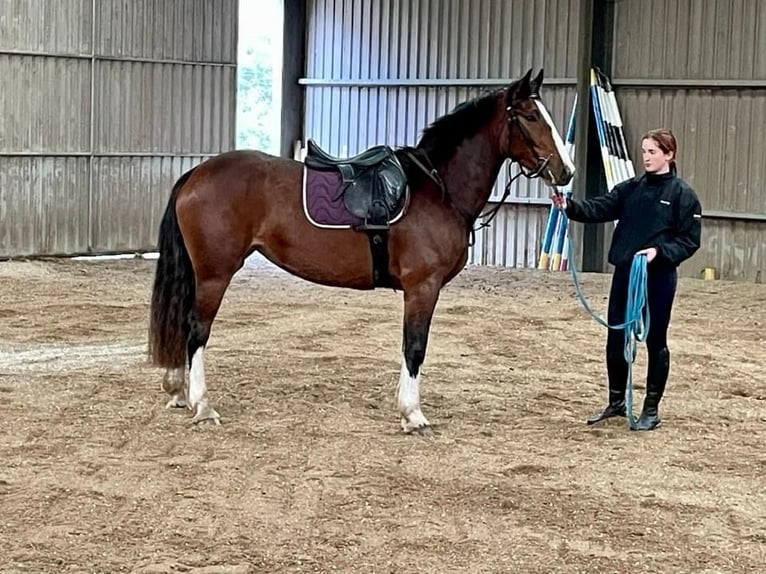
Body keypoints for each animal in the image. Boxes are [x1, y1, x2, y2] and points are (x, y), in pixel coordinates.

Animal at [148, 68, 576, 436]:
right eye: (531, 116)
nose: (567, 172)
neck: (436, 188)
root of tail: (196, 174)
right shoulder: (423, 287)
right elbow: (415, 347)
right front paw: (413, 414)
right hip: (214, 273)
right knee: (197, 331)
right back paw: (202, 405)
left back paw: (179, 391)